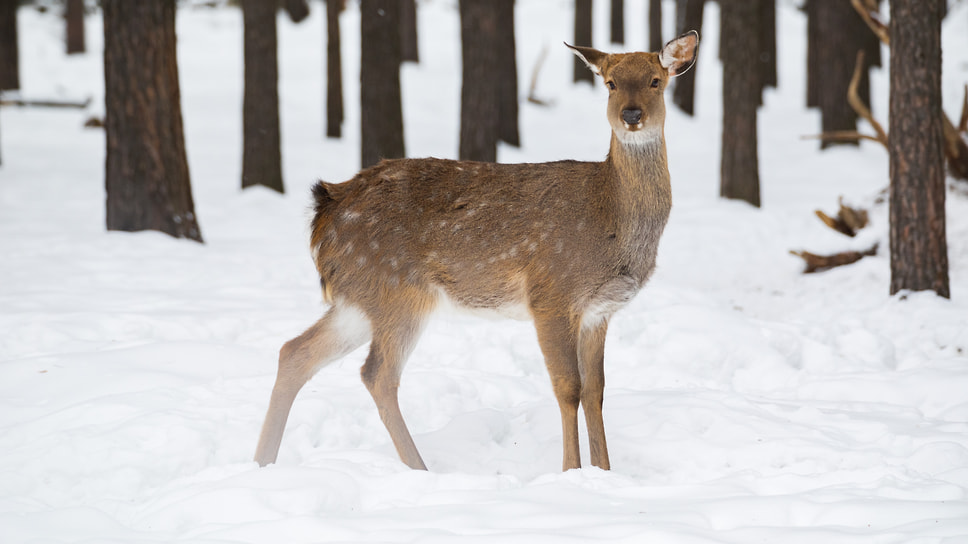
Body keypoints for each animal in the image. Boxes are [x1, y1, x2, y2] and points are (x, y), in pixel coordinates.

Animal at [255, 31, 696, 470]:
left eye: (656, 81)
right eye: (610, 83)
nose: (632, 115)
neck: (610, 217)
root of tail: (325, 210)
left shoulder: (598, 311)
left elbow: (596, 391)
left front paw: (604, 472)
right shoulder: (551, 293)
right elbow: (568, 387)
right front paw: (571, 471)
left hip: (359, 298)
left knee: (294, 352)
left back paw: (262, 461)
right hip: (398, 290)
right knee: (376, 374)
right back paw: (420, 469)